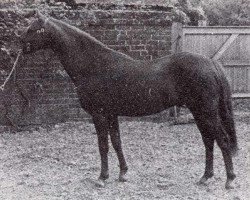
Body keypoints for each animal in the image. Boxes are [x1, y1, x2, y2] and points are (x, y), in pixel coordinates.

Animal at [19, 10, 238, 189]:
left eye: (33, 29)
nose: (20, 45)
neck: (94, 66)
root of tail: (211, 63)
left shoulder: (99, 114)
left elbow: (103, 145)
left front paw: (102, 177)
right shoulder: (111, 114)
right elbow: (117, 142)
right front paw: (123, 173)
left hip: (206, 112)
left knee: (222, 140)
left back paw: (229, 180)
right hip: (199, 112)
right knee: (208, 141)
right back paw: (205, 177)